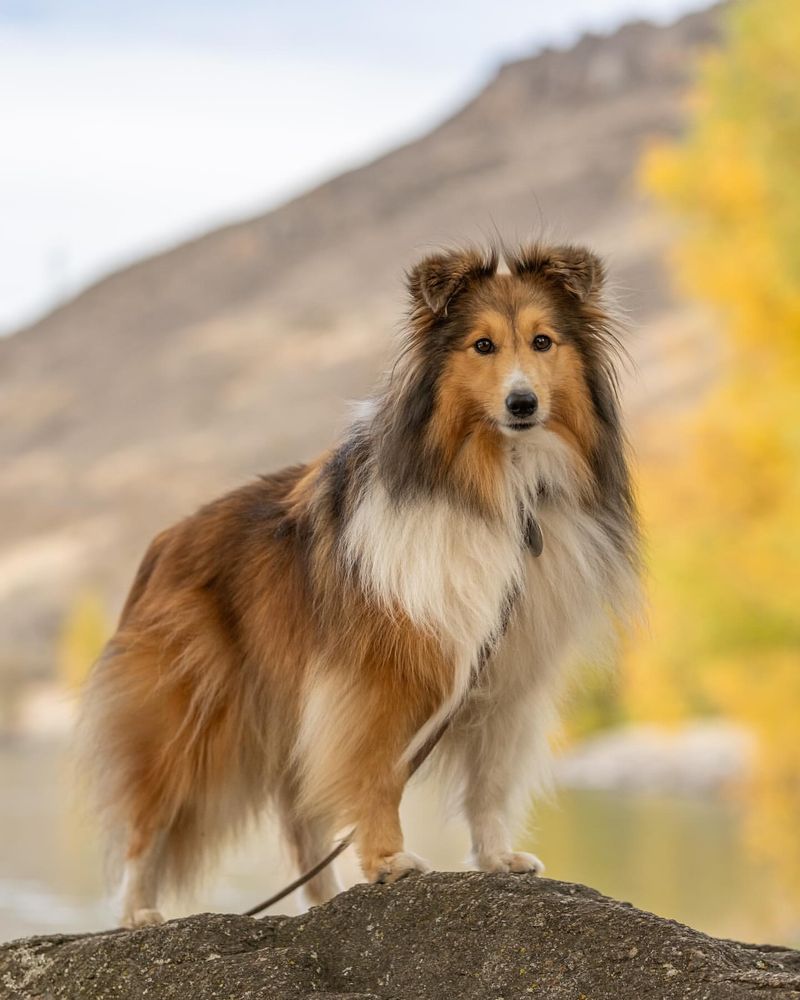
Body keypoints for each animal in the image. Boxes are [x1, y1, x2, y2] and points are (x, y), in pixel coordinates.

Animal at [78, 244, 640, 928]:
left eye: (543, 341)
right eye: (482, 345)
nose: (523, 404)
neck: (498, 491)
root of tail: (161, 546)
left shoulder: (505, 682)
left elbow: (488, 785)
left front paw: (497, 858)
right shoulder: (375, 677)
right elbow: (375, 775)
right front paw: (389, 861)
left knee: (300, 825)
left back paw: (326, 901)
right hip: (190, 722)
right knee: (148, 821)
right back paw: (140, 914)